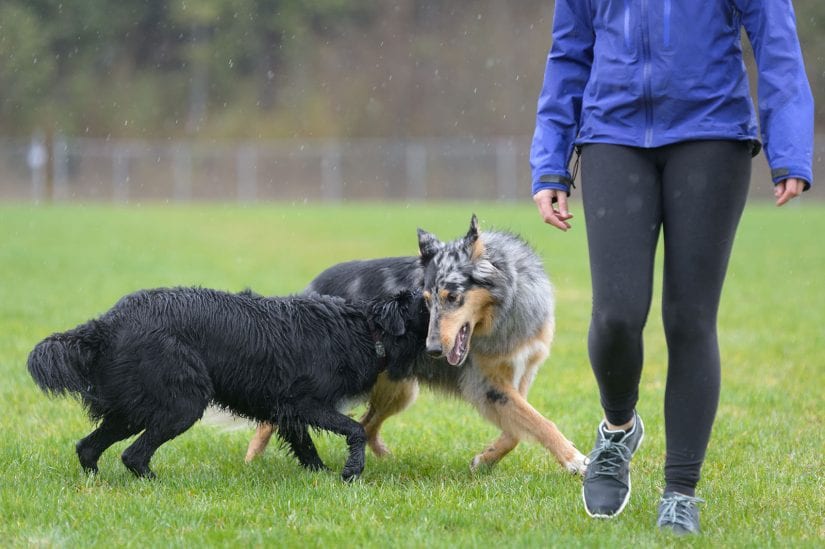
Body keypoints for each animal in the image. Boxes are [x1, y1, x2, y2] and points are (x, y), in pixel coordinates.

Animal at [27, 286, 424, 480]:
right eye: (428, 302)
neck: (366, 329)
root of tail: (107, 323)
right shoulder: (304, 403)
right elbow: (355, 430)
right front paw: (350, 472)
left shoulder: (286, 411)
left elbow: (306, 447)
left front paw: (321, 476)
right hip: (182, 404)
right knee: (132, 455)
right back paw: (156, 483)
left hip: (133, 408)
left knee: (88, 447)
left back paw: (95, 482)